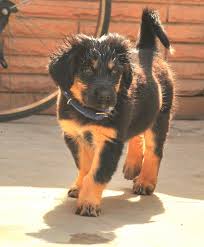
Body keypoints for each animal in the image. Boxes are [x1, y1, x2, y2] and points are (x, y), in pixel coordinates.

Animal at [49, 8, 174, 216]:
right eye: (87, 70)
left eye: (115, 72)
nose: (107, 97)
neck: (88, 113)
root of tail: (148, 50)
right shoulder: (74, 135)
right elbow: (85, 167)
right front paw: (79, 187)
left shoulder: (110, 141)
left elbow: (97, 173)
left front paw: (88, 203)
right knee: (136, 132)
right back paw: (133, 165)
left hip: (160, 115)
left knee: (154, 150)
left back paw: (145, 181)